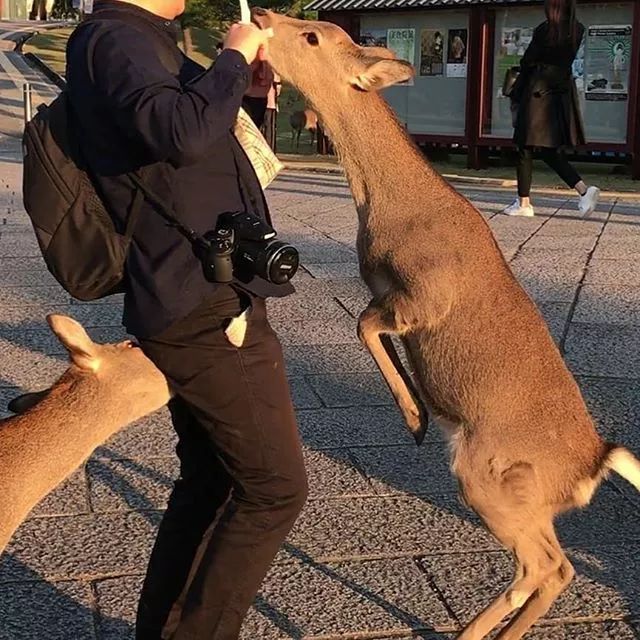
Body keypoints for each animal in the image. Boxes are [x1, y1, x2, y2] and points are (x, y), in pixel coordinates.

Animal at [251, 10, 640, 640]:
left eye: (312, 36)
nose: (261, 15)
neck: (385, 209)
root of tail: (592, 466)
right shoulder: (389, 296)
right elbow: (366, 327)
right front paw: (416, 414)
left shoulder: (422, 298)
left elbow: (362, 326)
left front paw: (415, 418)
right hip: (521, 498)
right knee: (548, 568)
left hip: (491, 476)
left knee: (545, 566)